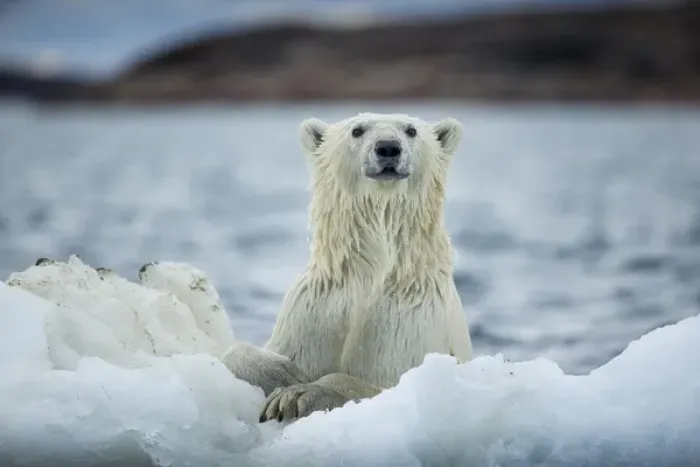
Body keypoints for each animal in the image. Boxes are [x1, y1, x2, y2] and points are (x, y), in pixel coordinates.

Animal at [219, 112, 473, 422]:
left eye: (411, 130)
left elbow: (383, 384)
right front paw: (283, 373)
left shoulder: (411, 324)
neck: (370, 274)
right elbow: (239, 354)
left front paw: (297, 394)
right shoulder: (314, 309)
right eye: (357, 130)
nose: (388, 147)